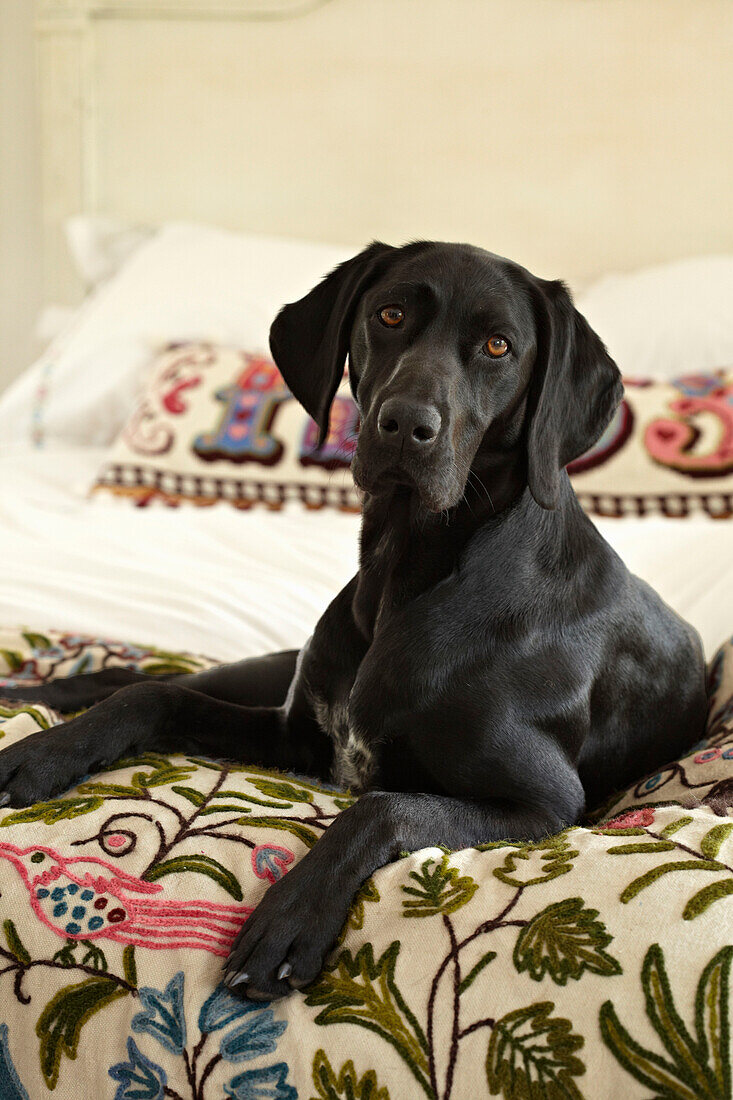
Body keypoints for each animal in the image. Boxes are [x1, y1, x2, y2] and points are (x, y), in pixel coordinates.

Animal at [1, 245, 708, 1003]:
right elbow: (150, 695)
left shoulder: (543, 803)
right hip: (269, 669)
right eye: (389, 314)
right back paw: (32, 693)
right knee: (145, 677)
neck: (404, 575)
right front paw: (41, 755)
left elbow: (382, 806)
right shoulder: (298, 736)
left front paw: (289, 919)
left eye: (499, 346)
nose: (406, 425)